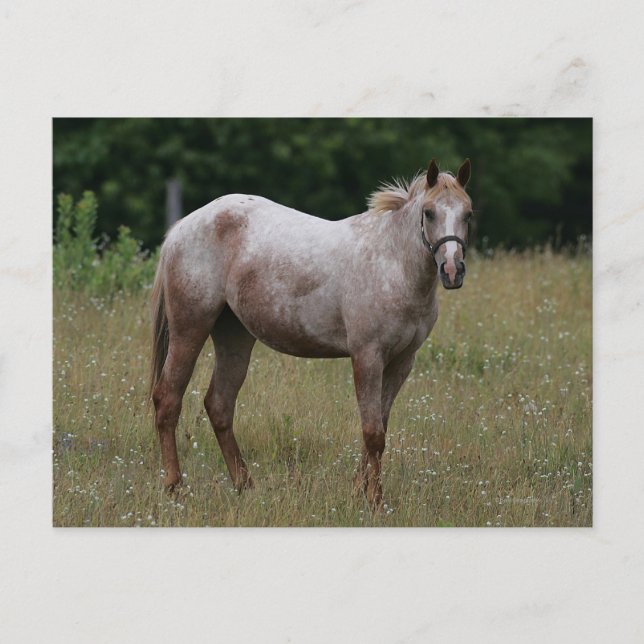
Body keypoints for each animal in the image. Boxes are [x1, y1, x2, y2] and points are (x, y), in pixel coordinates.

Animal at [150, 158, 472, 507]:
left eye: (468, 213)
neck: (393, 264)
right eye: (429, 212)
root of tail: (182, 227)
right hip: (190, 328)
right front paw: (374, 500)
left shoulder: (402, 362)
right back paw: (174, 487)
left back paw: (245, 485)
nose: (452, 271)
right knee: (168, 399)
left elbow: (379, 427)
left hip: (234, 336)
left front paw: (359, 491)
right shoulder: (367, 357)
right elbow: (373, 432)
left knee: (219, 406)